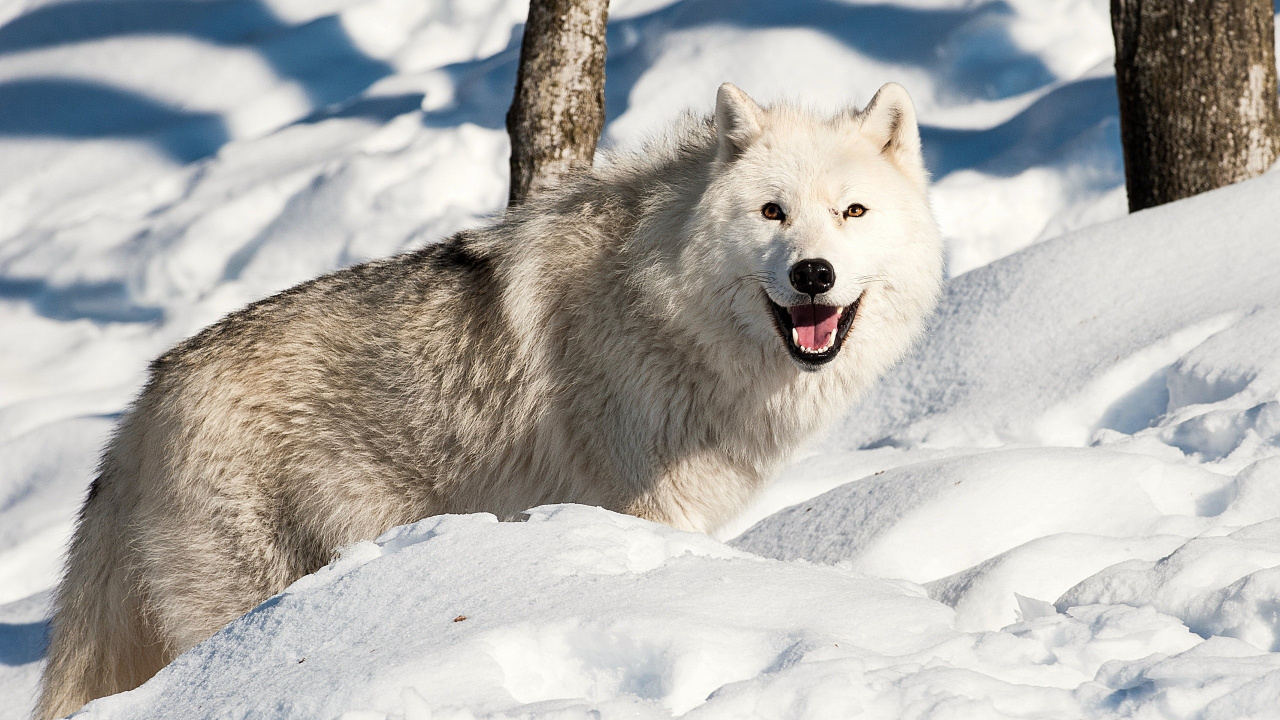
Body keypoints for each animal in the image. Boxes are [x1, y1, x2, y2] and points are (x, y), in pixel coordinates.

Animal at [37, 82, 943, 718]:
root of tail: (142, 403)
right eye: (772, 212)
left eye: (852, 212)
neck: (664, 308)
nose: (813, 275)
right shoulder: (647, 514)